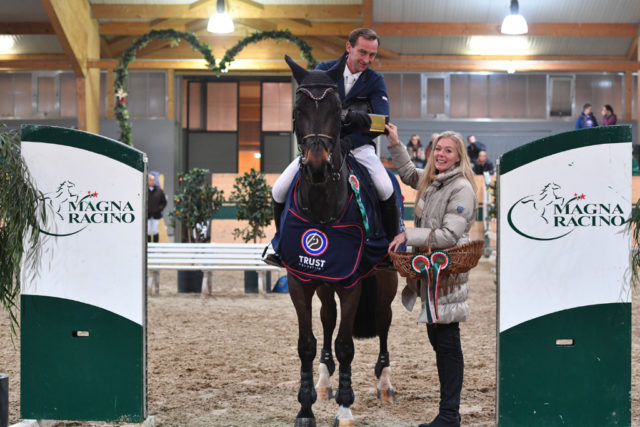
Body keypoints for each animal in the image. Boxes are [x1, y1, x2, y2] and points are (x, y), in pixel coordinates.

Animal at [282, 55, 398, 426]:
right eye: (298, 108)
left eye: (338, 110)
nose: (317, 166)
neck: (322, 202)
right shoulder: (300, 280)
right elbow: (307, 342)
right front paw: (305, 409)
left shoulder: (351, 284)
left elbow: (347, 344)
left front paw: (345, 410)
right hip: (324, 284)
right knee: (328, 319)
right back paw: (323, 381)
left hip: (385, 279)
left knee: (383, 321)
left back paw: (384, 384)